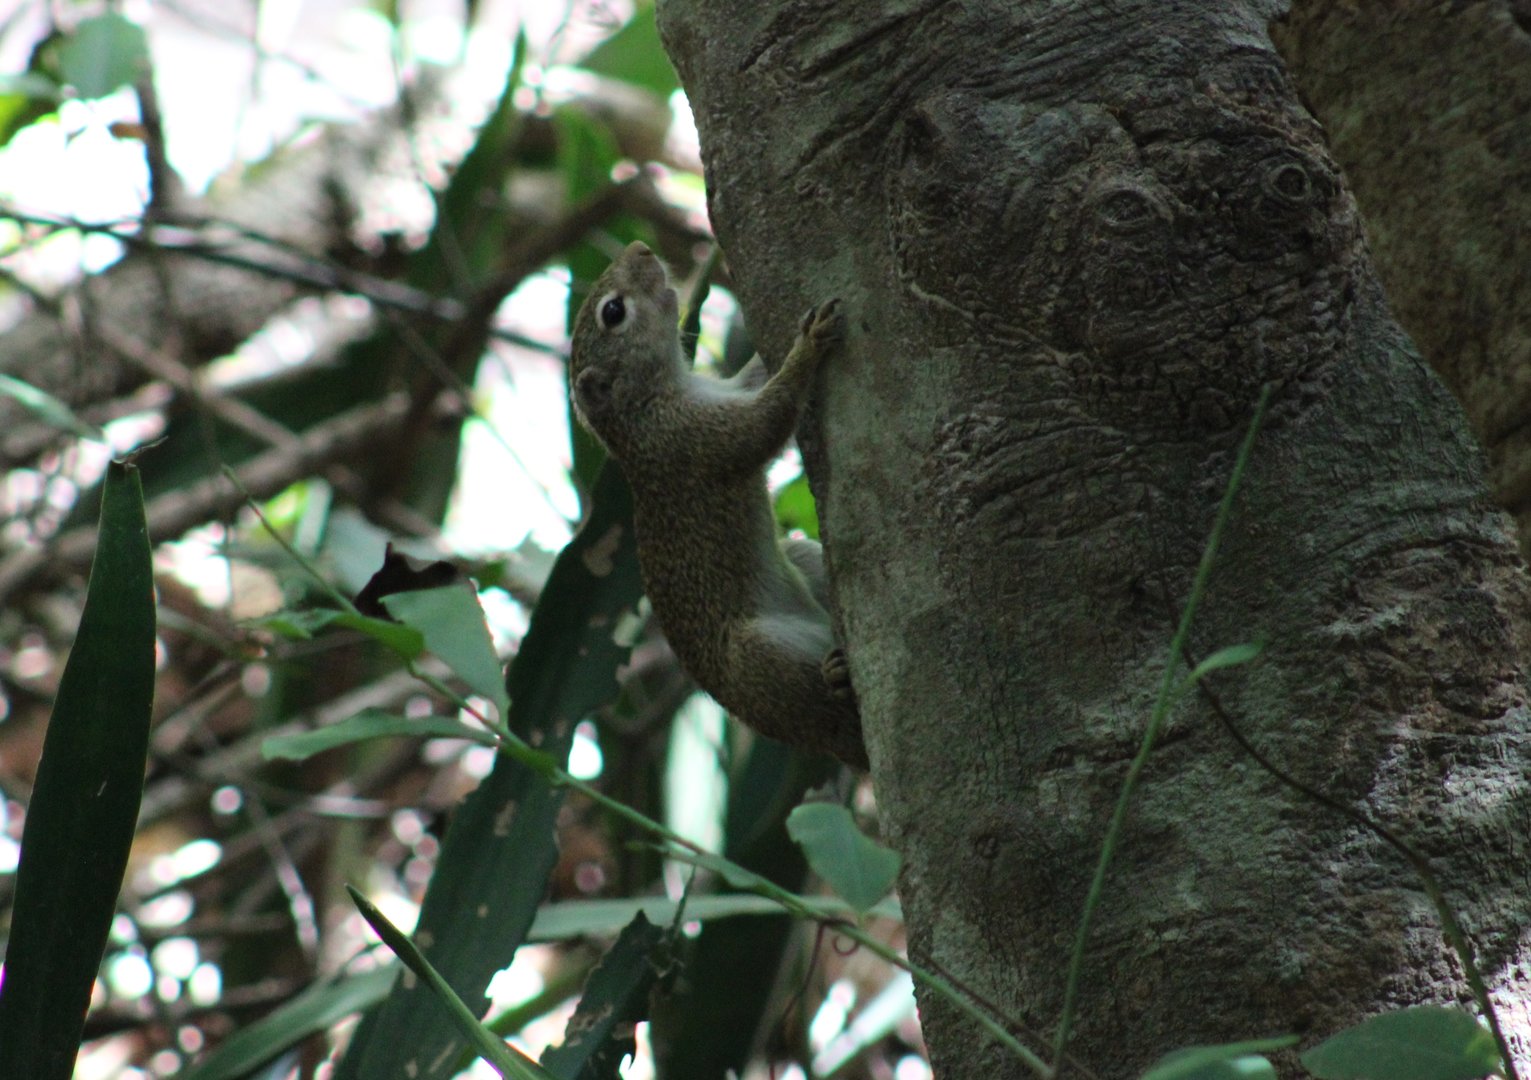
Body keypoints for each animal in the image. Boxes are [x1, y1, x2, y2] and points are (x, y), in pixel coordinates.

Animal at [569, 241, 867, 770]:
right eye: (613, 312)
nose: (641, 248)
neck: (647, 406)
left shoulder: (724, 395)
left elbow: (755, 378)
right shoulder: (695, 440)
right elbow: (768, 423)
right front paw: (808, 347)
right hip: (755, 660)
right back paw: (839, 691)